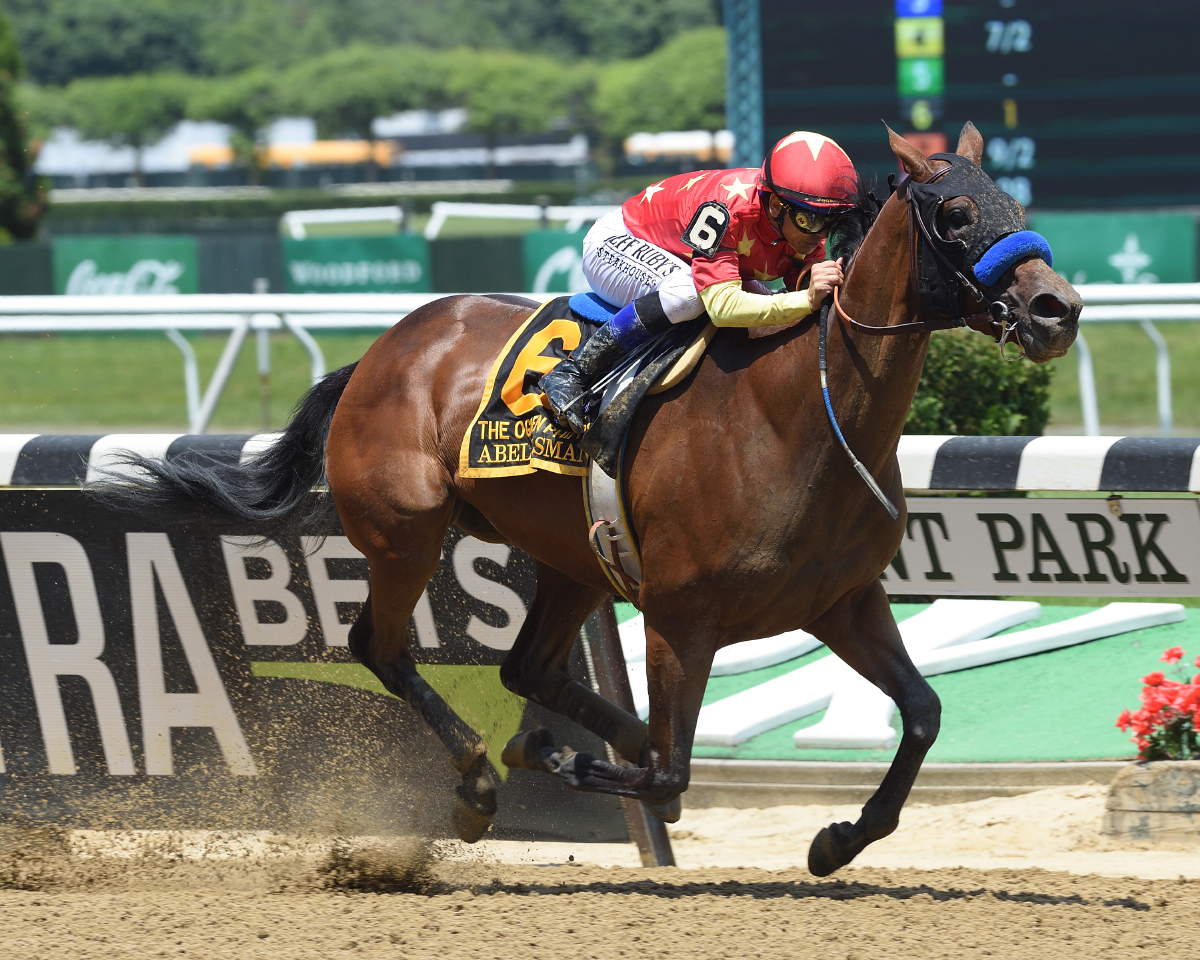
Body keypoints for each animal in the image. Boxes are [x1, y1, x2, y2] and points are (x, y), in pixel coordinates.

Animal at [117, 127, 1084, 878]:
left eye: (1009, 198)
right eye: (956, 215)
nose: (1057, 308)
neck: (799, 419)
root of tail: (382, 352)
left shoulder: (842, 600)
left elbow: (921, 714)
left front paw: (837, 839)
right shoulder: (680, 616)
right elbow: (666, 770)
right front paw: (549, 752)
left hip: (574, 558)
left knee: (528, 670)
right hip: (405, 534)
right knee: (380, 648)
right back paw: (482, 781)